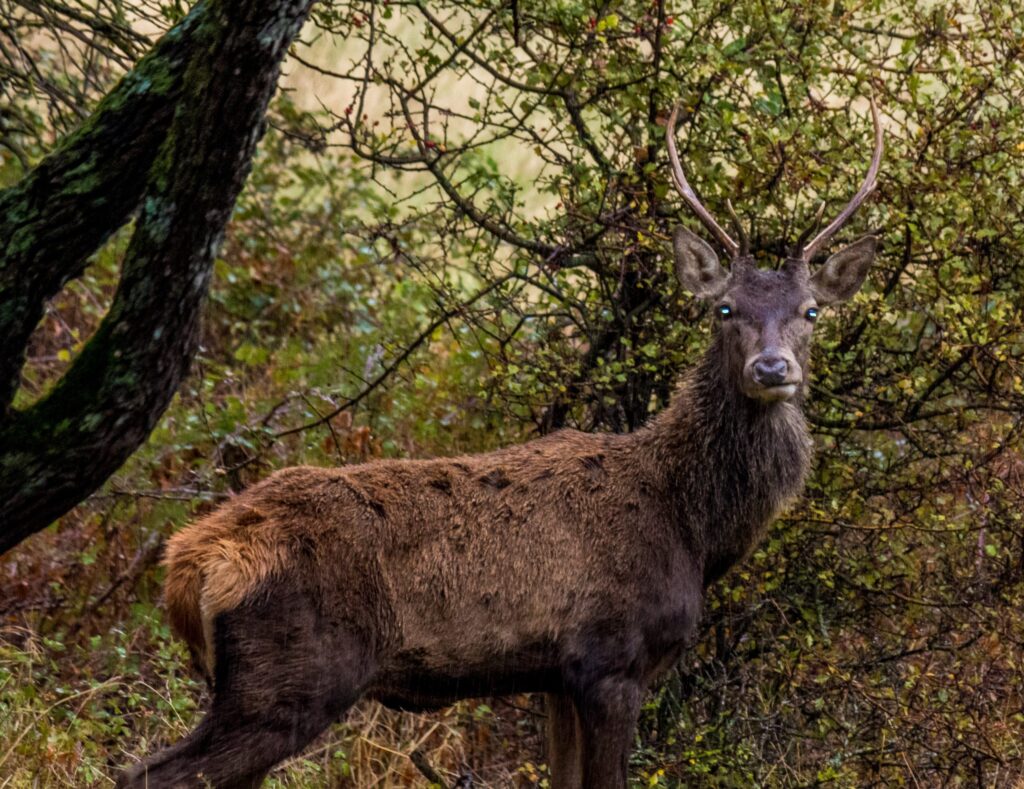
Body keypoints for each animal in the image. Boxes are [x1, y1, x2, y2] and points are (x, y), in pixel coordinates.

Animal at [119, 100, 884, 789]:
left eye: (811, 311)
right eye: (724, 308)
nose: (772, 368)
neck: (693, 527)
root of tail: (189, 564)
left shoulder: (556, 678)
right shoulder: (611, 658)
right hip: (290, 675)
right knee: (150, 775)